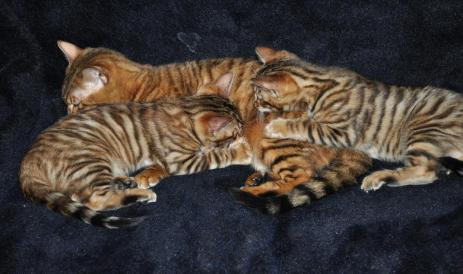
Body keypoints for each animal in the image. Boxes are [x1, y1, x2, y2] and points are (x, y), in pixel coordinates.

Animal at [19, 79, 250, 229]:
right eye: (236, 130)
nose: (243, 132)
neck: (185, 111)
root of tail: (28, 161)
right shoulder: (181, 160)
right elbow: (217, 156)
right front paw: (241, 150)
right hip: (89, 159)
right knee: (94, 199)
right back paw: (140, 194)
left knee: (80, 195)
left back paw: (126, 183)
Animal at [254, 47, 463, 192]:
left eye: (259, 97)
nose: (255, 105)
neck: (319, 84)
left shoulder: (343, 132)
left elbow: (307, 125)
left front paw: (277, 126)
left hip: (421, 127)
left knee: (426, 171)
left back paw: (380, 176)